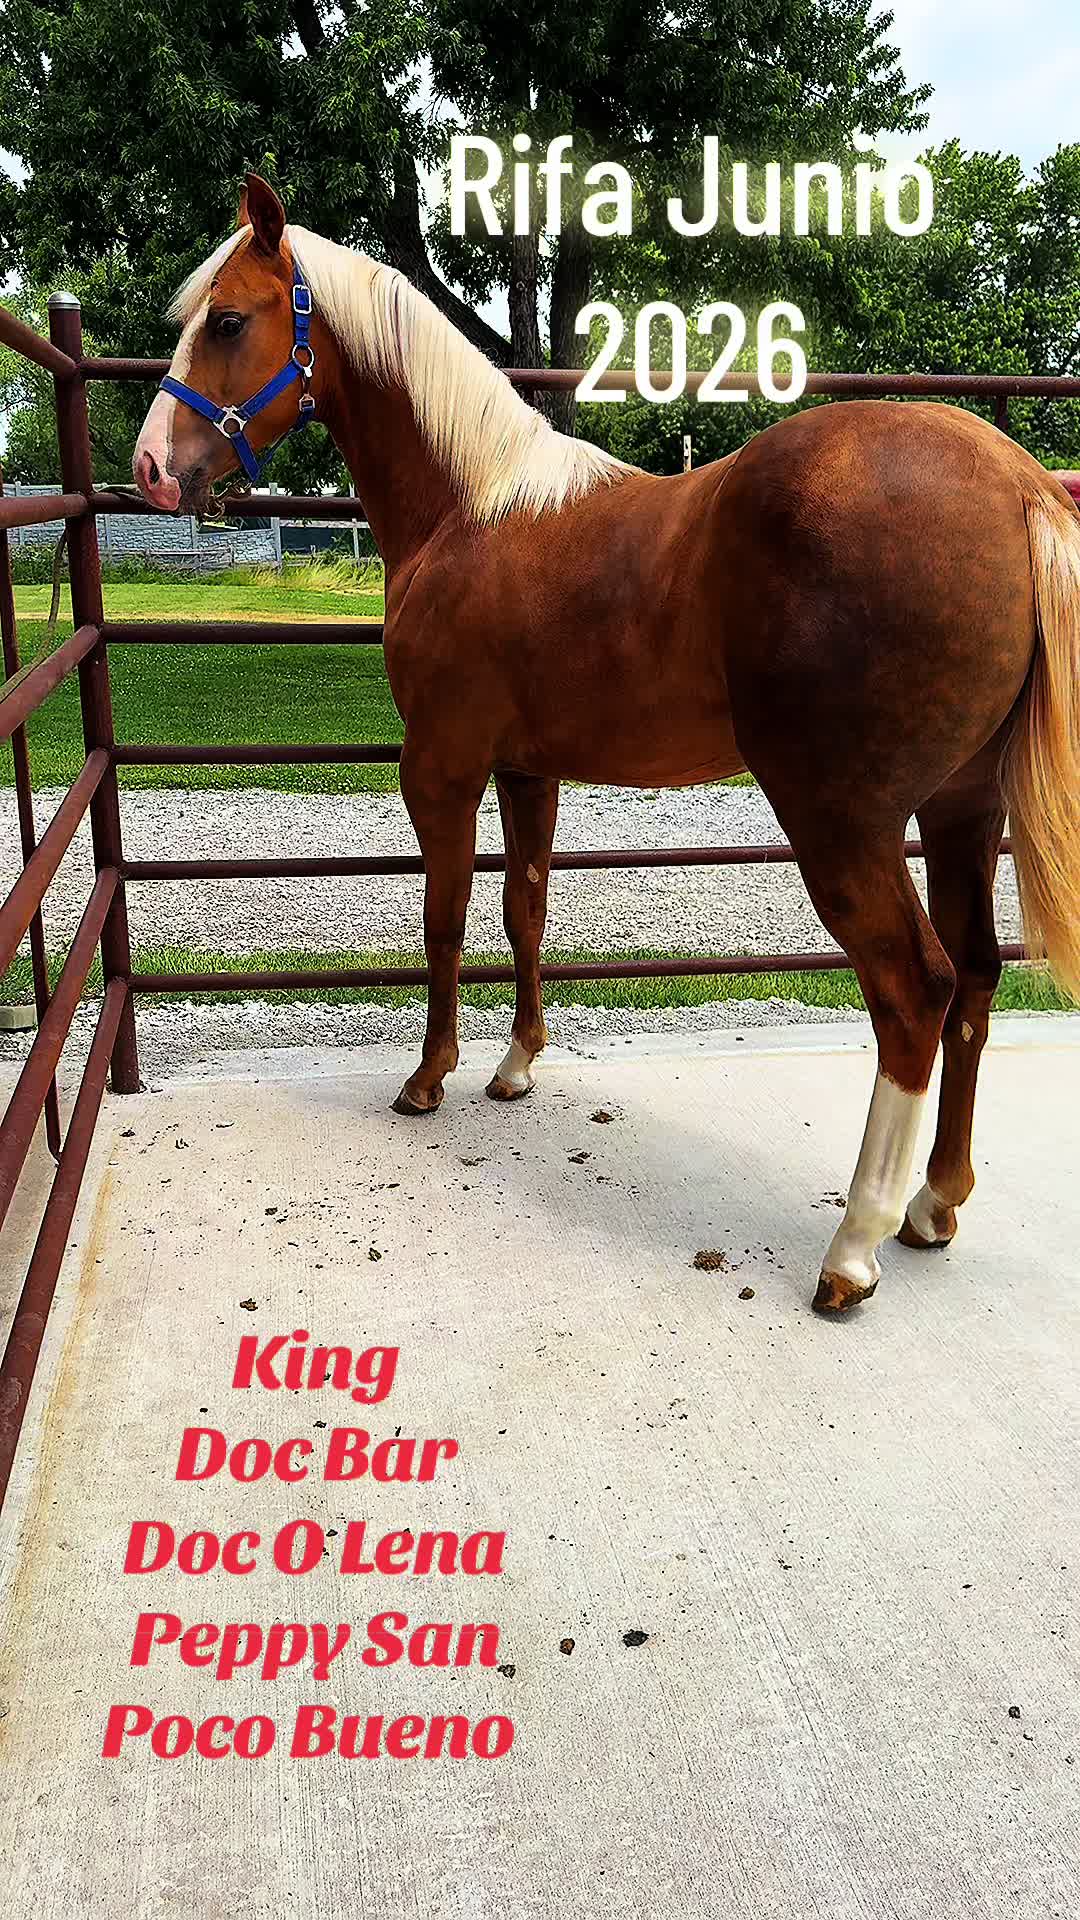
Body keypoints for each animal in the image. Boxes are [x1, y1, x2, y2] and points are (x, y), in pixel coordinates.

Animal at [133, 173, 1080, 1316]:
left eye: (229, 321)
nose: (151, 467)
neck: (471, 510)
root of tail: (1019, 486)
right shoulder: (526, 766)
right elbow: (525, 909)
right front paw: (515, 1067)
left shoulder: (439, 767)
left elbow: (444, 921)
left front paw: (428, 1079)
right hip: (957, 812)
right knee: (977, 981)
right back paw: (934, 1205)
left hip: (842, 823)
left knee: (916, 995)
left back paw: (853, 1246)